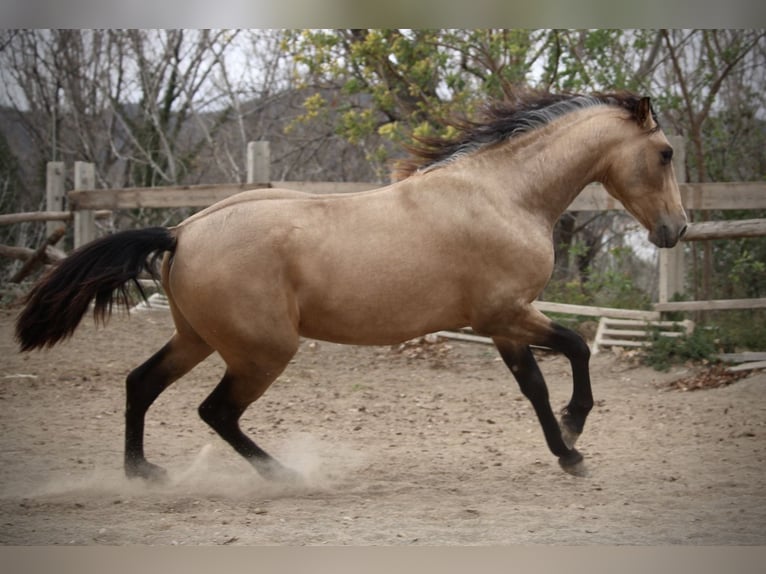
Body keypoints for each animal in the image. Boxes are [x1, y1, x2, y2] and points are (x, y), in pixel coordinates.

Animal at [16, 92, 688, 484]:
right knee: (216, 411)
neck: (502, 195)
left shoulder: (503, 324)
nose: (676, 229)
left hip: (197, 340)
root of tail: (182, 231)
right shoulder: (506, 314)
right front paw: (574, 436)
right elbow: (572, 351)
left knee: (141, 384)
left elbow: (535, 386)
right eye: (664, 152)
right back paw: (285, 476)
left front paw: (566, 450)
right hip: (261, 352)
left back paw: (143, 473)